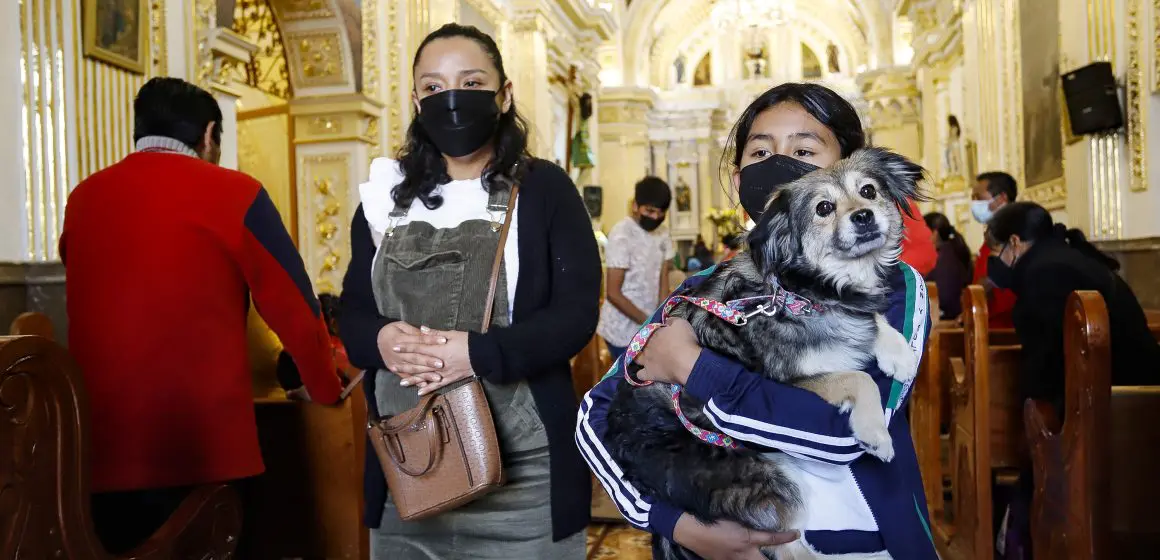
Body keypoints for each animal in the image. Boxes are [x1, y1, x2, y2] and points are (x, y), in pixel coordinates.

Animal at [607, 146, 923, 558]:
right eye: (824, 208)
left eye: (868, 191)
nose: (864, 216)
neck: (801, 292)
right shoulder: (789, 379)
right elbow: (859, 377)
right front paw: (875, 432)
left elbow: (871, 320)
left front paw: (898, 353)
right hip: (767, 474)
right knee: (790, 546)